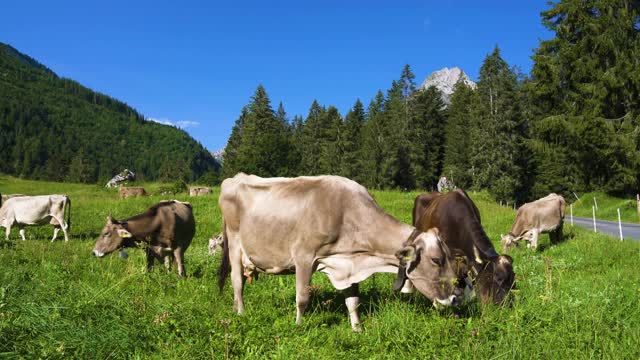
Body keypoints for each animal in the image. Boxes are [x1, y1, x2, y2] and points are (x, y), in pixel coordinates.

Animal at [218, 174, 462, 332]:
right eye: (437, 260)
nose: (455, 298)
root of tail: (235, 177)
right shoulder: (303, 256)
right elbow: (302, 298)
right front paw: (297, 327)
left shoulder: (348, 263)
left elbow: (353, 301)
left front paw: (357, 329)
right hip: (235, 243)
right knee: (236, 281)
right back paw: (241, 312)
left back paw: (233, 308)